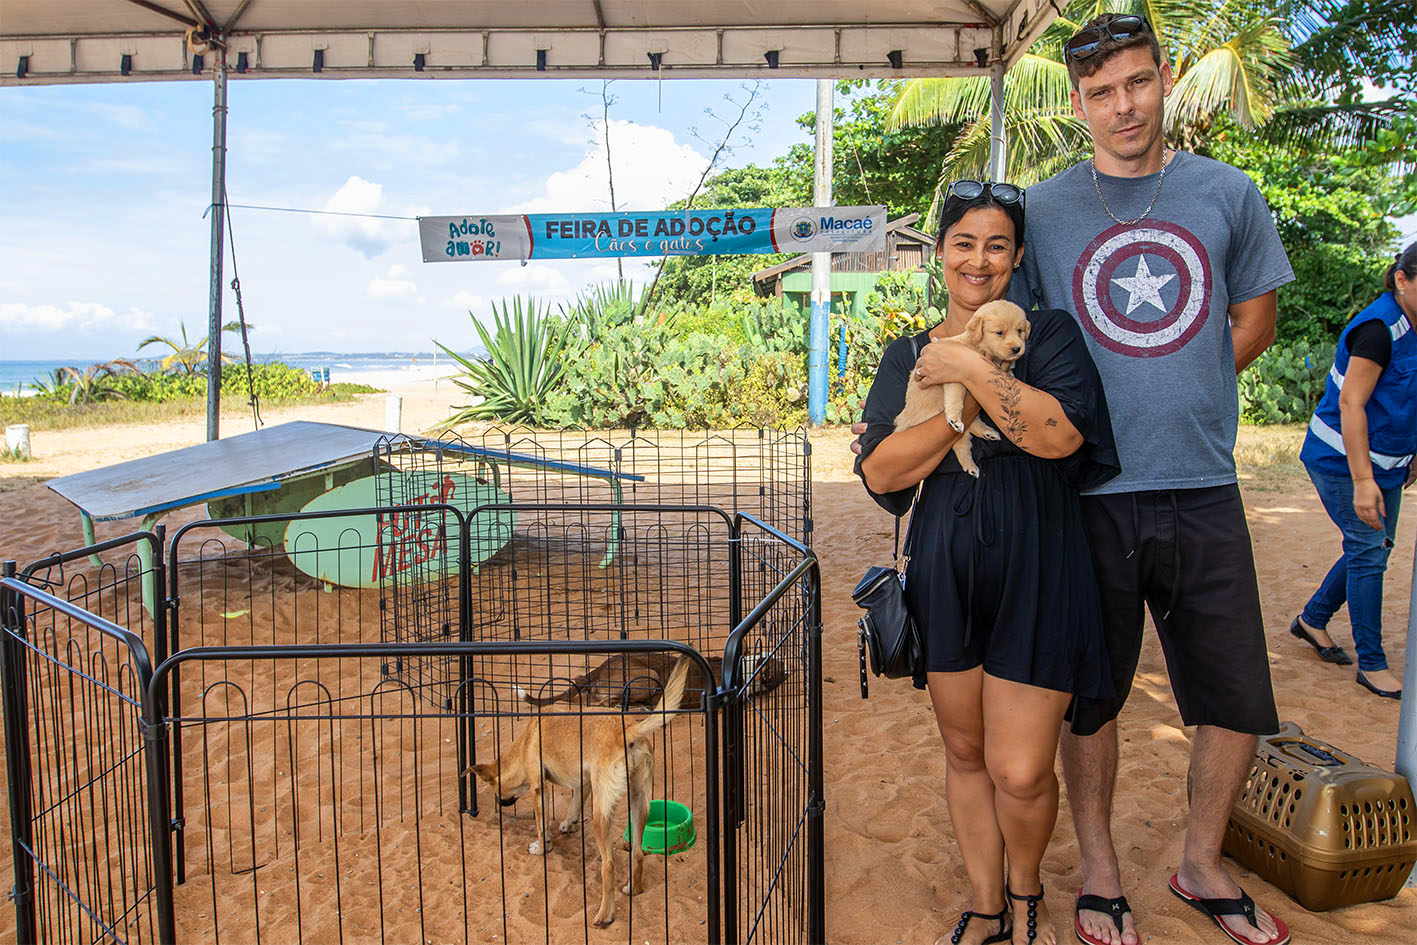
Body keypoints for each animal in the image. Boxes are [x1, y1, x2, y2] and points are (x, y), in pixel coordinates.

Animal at [470, 654, 691, 929]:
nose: (501, 804)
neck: (525, 742)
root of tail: (627, 730)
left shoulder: (539, 787)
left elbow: (541, 824)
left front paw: (542, 847)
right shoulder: (583, 782)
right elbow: (573, 804)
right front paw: (567, 824)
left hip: (601, 815)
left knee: (608, 865)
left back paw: (604, 915)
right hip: (639, 803)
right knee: (638, 853)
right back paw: (633, 889)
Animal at [895, 298, 1031, 476]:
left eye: (1020, 331)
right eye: (1000, 332)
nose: (1017, 349)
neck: (975, 346)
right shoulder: (954, 380)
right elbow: (956, 401)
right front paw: (954, 417)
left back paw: (988, 433)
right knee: (961, 446)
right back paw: (971, 464)